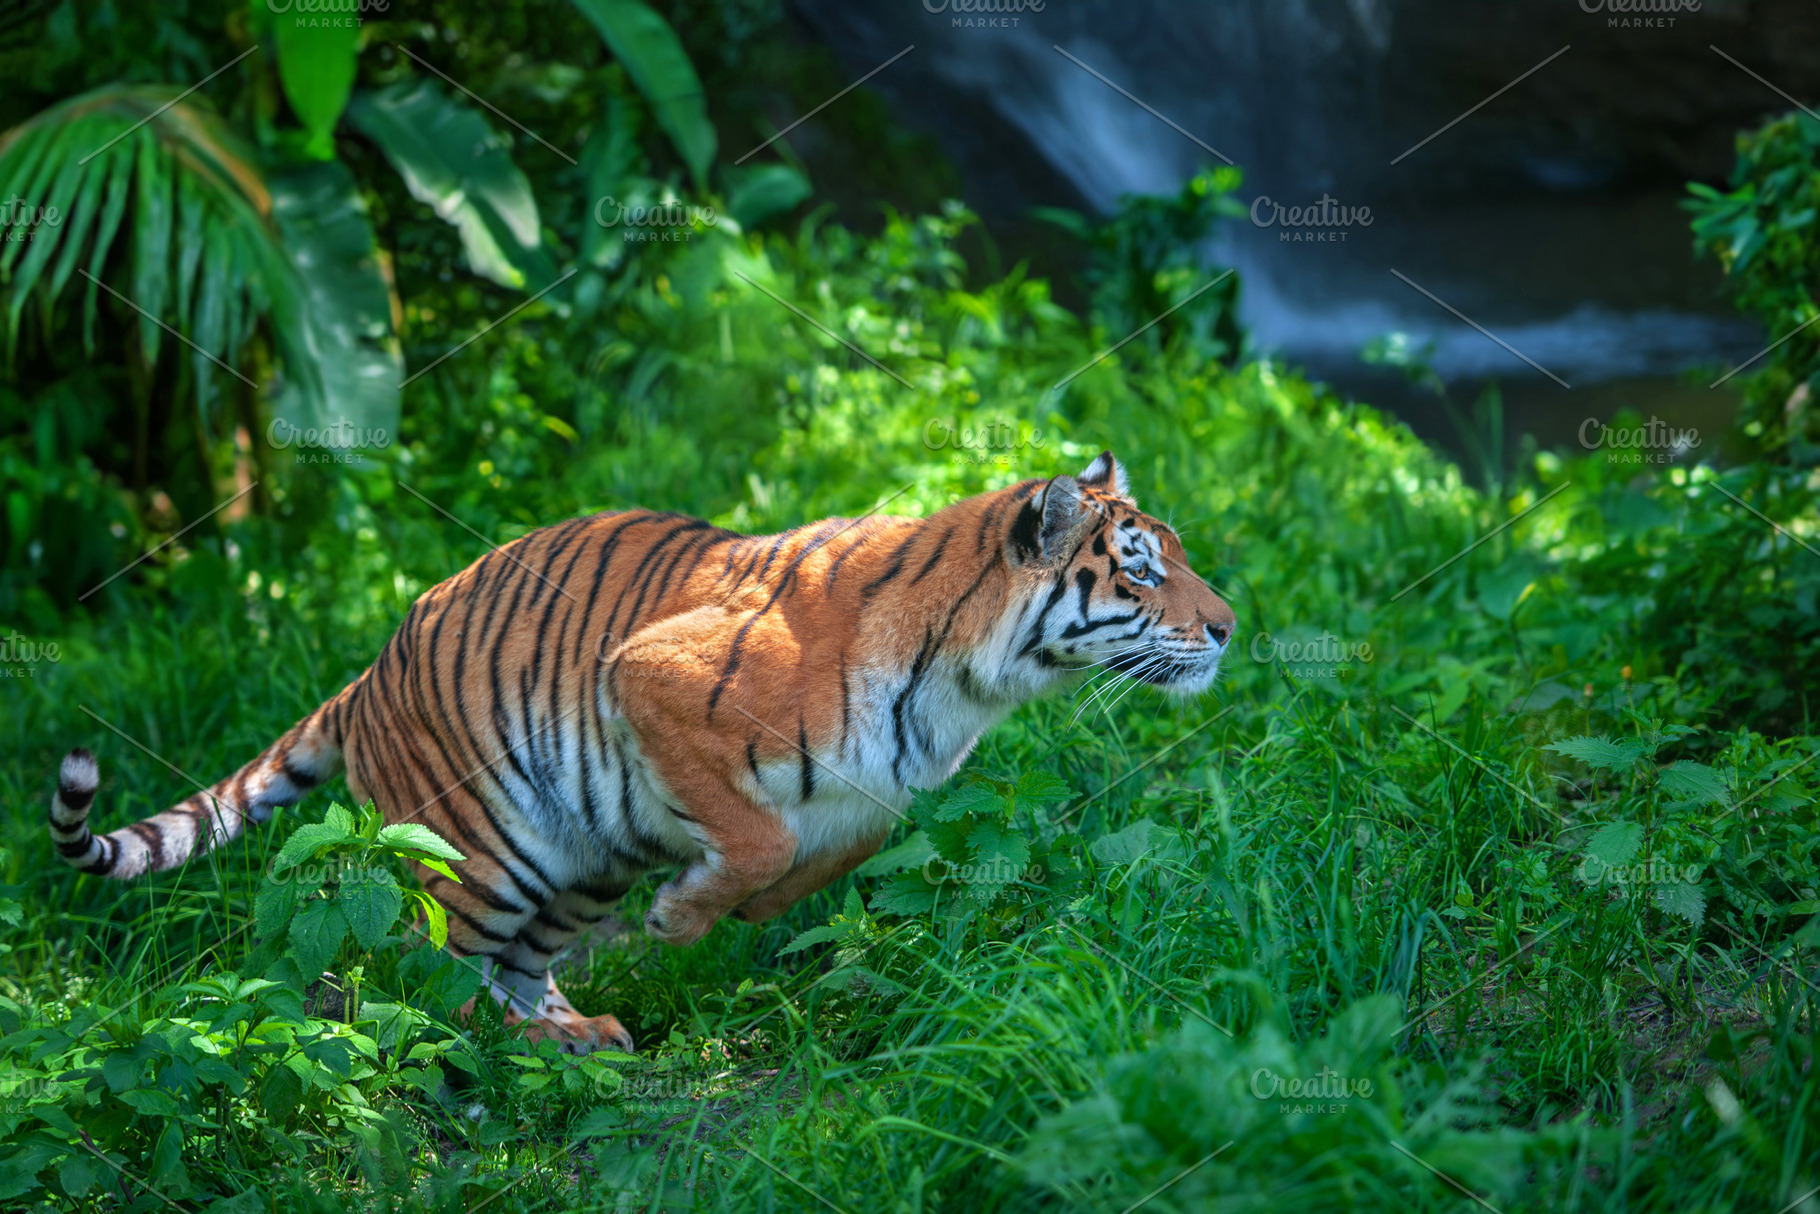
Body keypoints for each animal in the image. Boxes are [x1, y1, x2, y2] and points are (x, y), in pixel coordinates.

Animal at [49, 452, 1235, 1052]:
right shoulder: (652, 674)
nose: (1227, 627)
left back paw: (583, 1030)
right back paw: (517, 1048)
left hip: (584, 858)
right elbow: (756, 836)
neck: (974, 685)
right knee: (433, 979)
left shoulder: (881, 793)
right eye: (1138, 567)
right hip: (478, 848)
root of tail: (368, 674)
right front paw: (682, 918)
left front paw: (736, 912)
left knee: (516, 966)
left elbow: (824, 852)